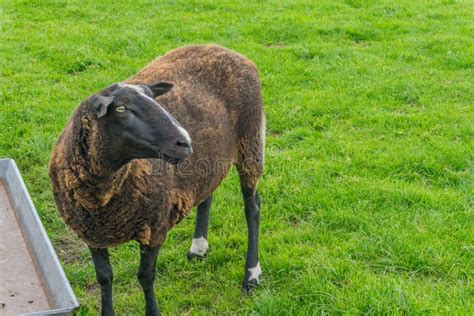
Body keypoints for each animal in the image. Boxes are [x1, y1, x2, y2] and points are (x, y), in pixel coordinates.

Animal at [49, 45, 264, 316]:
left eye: (155, 100)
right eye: (121, 109)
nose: (185, 141)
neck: (102, 198)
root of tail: (227, 49)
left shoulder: (154, 228)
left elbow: (145, 276)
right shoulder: (91, 233)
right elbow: (104, 277)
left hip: (251, 142)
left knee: (252, 208)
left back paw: (252, 275)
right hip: (210, 158)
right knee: (207, 194)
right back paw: (198, 248)